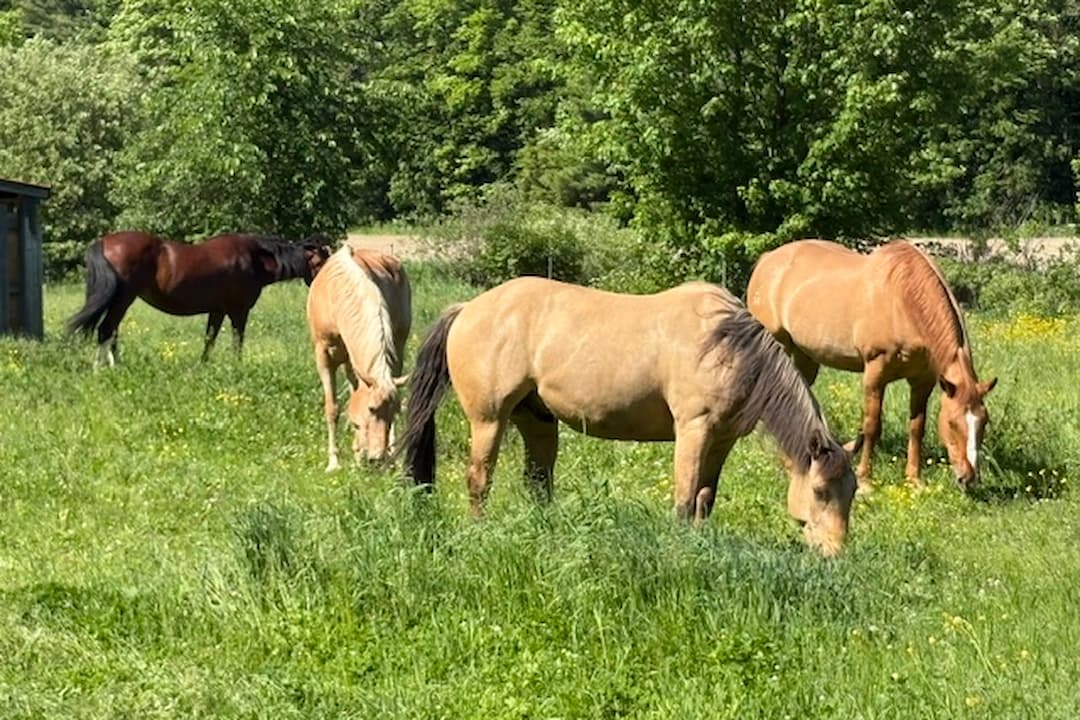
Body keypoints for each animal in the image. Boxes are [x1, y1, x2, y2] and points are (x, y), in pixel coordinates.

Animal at [67, 230, 333, 365]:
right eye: (321, 261)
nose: (328, 284)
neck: (253, 259)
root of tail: (104, 242)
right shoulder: (239, 311)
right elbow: (237, 340)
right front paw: (237, 367)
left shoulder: (218, 310)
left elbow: (209, 339)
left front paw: (203, 365)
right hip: (123, 299)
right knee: (106, 330)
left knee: (111, 331)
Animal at [307, 243, 411, 470]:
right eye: (372, 409)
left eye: (394, 411)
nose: (378, 458)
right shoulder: (324, 357)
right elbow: (333, 408)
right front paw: (334, 462)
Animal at [400, 277, 862, 556]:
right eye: (820, 491)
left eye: (853, 491)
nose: (834, 553)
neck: (726, 344)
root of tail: (468, 308)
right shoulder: (694, 430)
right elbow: (684, 497)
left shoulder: (723, 439)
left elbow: (705, 498)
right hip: (488, 420)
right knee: (479, 479)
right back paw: (478, 531)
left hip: (537, 420)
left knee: (538, 482)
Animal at [746, 239, 997, 492]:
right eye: (952, 423)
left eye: (984, 421)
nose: (968, 478)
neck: (902, 300)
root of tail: (766, 260)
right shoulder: (875, 373)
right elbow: (872, 425)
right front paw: (865, 481)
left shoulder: (922, 381)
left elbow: (917, 427)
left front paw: (914, 480)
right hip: (777, 344)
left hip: (805, 356)